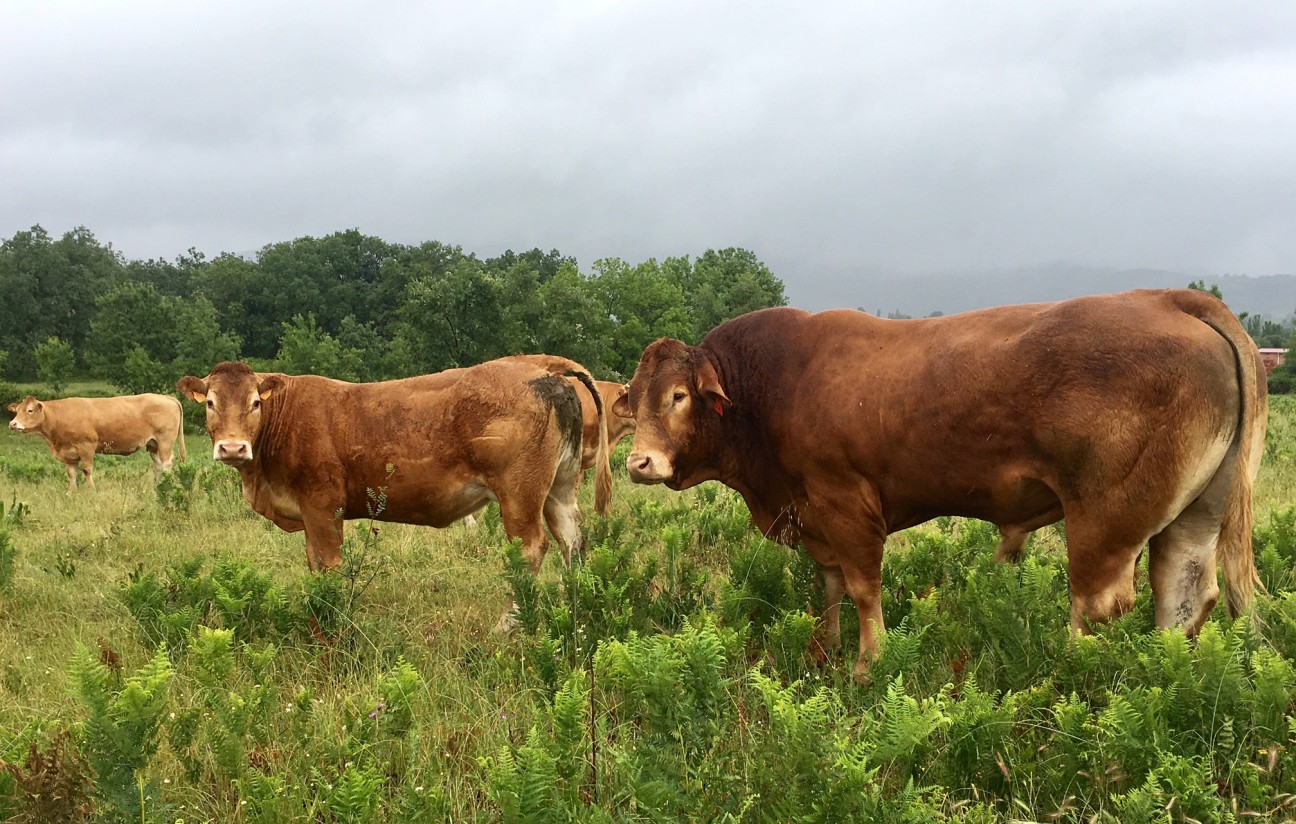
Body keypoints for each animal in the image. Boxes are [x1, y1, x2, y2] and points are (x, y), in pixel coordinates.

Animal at [5, 391, 189, 489]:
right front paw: (71, 493)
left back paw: (166, 484)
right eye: (17, 410)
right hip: (153, 443)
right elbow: (71, 474)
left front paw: (91, 490)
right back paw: (157, 485)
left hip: (165, 440)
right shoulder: (69, 454)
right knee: (158, 464)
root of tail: (166, 397)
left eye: (29, 410)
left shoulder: (87, 446)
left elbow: (87, 470)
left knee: (167, 463)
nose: (12, 424)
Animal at [174, 354, 598, 580]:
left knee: (531, 549)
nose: (233, 447)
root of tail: (541, 370)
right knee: (572, 541)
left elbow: (330, 566)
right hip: (560, 488)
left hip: (518, 495)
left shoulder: (323, 508)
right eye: (210, 402)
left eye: (255, 403)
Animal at [616, 292, 1264, 678]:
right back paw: (1168, 677)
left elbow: (863, 589)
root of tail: (1167, 299)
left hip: (1104, 522)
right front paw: (822, 653)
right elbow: (829, 588)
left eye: (678, 396)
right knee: (1182, 596)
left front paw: (868, 666)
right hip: (1194, 515)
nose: (640, 463)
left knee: (1098, 605)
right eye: (634, 398)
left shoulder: (846, 505)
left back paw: (1068, 677)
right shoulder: (814, 518)